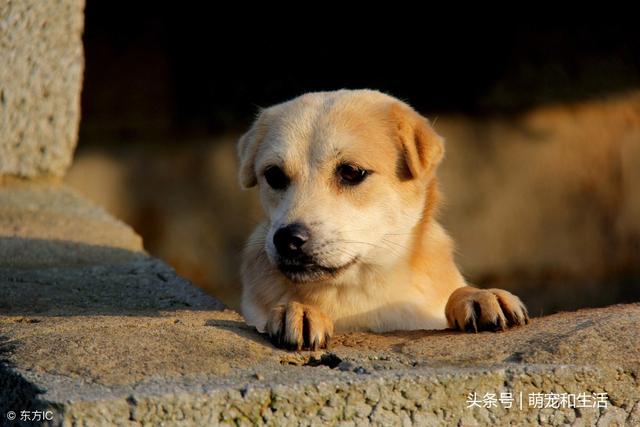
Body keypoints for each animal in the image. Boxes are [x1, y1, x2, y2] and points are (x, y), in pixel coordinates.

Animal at [238, 90, 528, 352]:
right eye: (274, 175)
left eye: (351, 172)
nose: (287, 239)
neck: (360, 293)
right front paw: (298, 309)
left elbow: (457, 292)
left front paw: (481, 295)